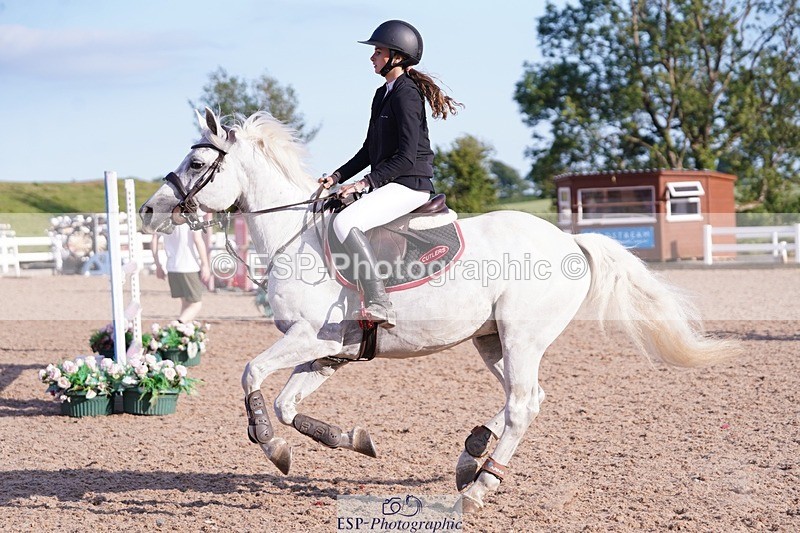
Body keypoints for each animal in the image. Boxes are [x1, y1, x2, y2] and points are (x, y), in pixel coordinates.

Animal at [139, 108, 737, 512]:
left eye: (197, 161)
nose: (148, 210)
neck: (296, 237)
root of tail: (569, 241)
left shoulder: (314, 338)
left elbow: (251, 374)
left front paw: (269, 445)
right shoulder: (329, 352)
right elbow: (288, 405)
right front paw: (350, 441)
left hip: (521, 337)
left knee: (522, 404)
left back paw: (478, 488)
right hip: (492, 340)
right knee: (528, 399)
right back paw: (472, 455)